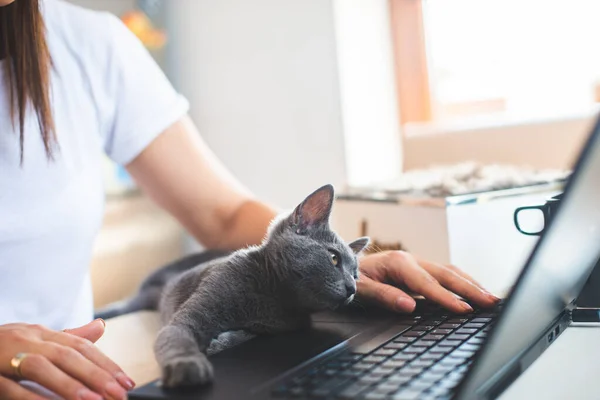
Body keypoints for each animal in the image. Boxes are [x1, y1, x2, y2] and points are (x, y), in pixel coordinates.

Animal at [96, 185, 368, 388]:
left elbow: (247, 336)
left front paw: (220, 342)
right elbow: (176, 336)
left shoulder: (282, 326)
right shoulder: (195, 308)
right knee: (124, 304)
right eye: (334, 258)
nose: (351, 288)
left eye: (355, 274)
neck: (272, 298)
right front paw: (187, 365)